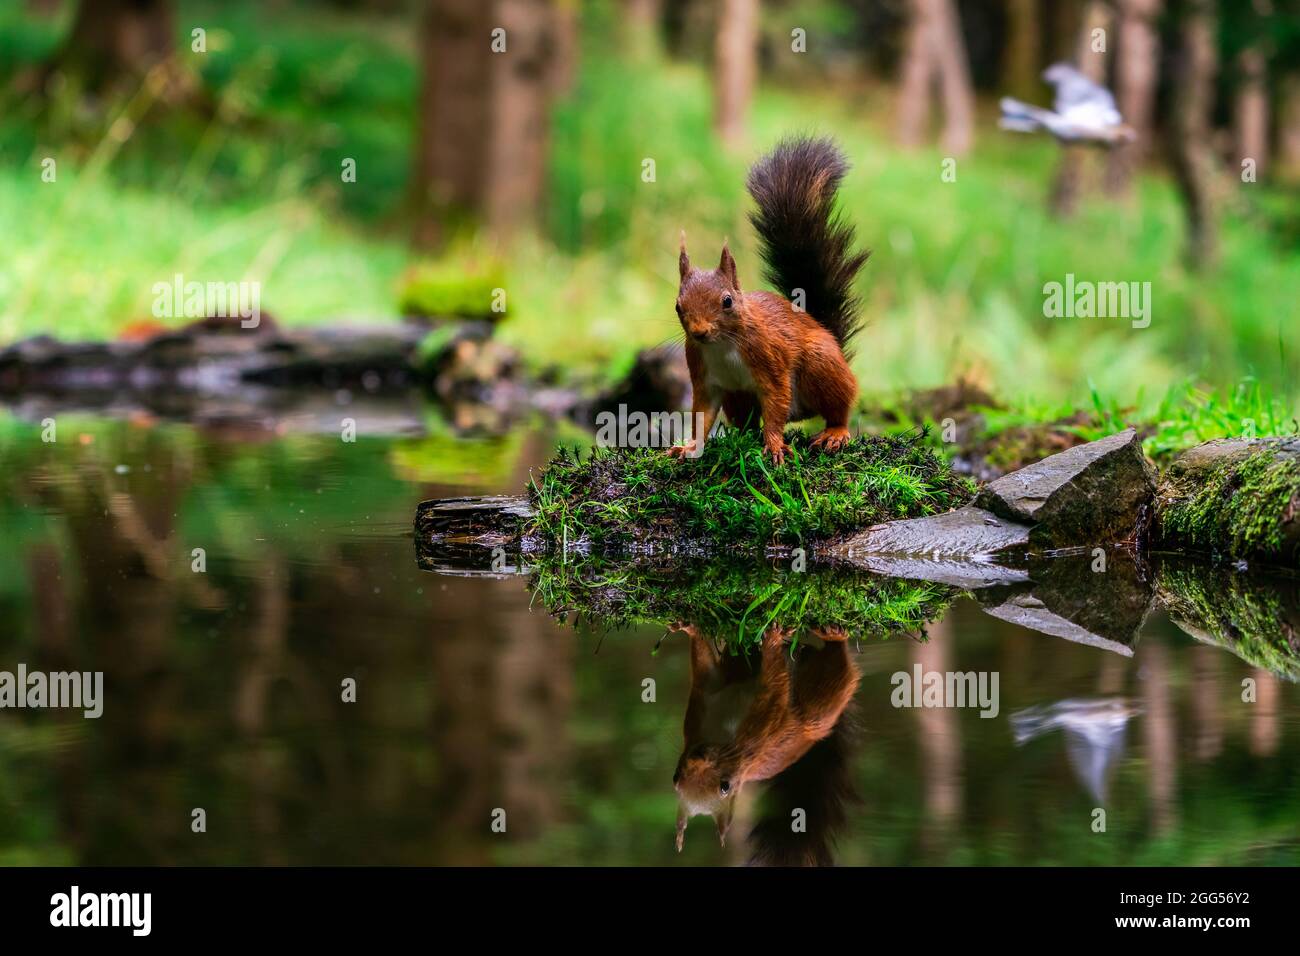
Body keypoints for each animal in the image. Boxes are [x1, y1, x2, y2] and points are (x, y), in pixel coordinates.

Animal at [669, 136, 870, 465]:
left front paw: (775, 446)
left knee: (838, 407)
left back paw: (835, 433)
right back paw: (741, 438)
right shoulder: (703, 377)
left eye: (727, 301)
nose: (699, 332)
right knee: (747, 422)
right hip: (737, 398)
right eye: (678, 306)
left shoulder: (771, 359)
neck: (723, 344)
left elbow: (775, 405)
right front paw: (689, 447)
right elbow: (702, 414)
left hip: (821, 365)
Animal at [672, 623, 860, 852]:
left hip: (818, 706)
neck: (720, 737)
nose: (698, 755)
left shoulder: (760, 731)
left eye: (725, 786)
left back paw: (833, 636)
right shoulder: (701, 710)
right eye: (675, 777)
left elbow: (773, 689)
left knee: (836, 667)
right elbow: (709, 671)